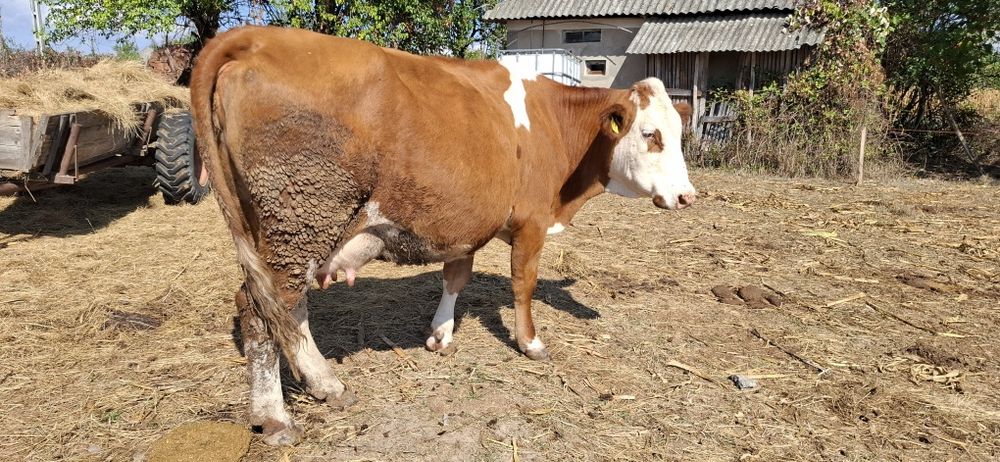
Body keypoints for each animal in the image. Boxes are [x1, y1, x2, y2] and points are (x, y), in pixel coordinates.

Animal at [190, 26, 696, 445]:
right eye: (650, 135)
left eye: (678, 135)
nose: (687, 196)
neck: (554, 124)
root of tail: (256, 37)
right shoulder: (531, 221)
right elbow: (523, 284)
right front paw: (530, 343)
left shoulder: (464, 224)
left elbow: (456, 278)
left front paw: (440, 334)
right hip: (301, 217)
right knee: (263, 310)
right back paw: (278, 416)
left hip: (274, 229)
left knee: (284, 310)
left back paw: (319, 387)